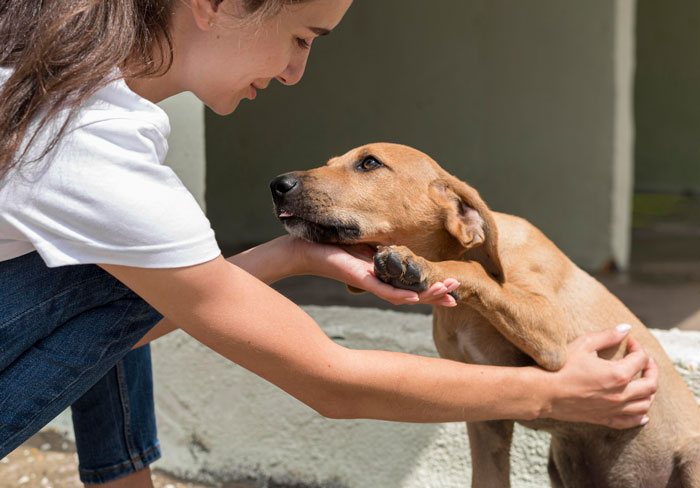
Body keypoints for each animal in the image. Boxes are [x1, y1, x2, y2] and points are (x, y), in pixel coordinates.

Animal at [270, 143, 700, 488]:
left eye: (369, 163)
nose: (278, 184)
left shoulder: (553, 337)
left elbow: (473, 272)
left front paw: (419, 266)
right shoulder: (486, 416)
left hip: (691, 459)